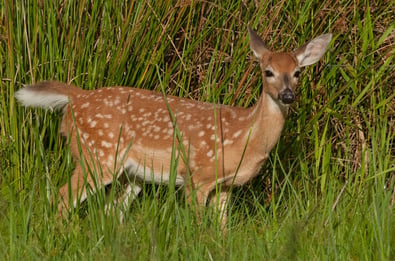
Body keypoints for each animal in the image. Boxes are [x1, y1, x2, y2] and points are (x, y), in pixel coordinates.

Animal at [14, 26, 332, 224]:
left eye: (297, 72)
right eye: (268, 72)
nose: (287, 95)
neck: (244, 135)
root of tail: (76, 98)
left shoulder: (225, 187)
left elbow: (222, 229)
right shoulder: (197, 177)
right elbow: (199, 226)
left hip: (132, 174)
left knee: (109, 211)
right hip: (96, 156)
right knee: (61, 198)